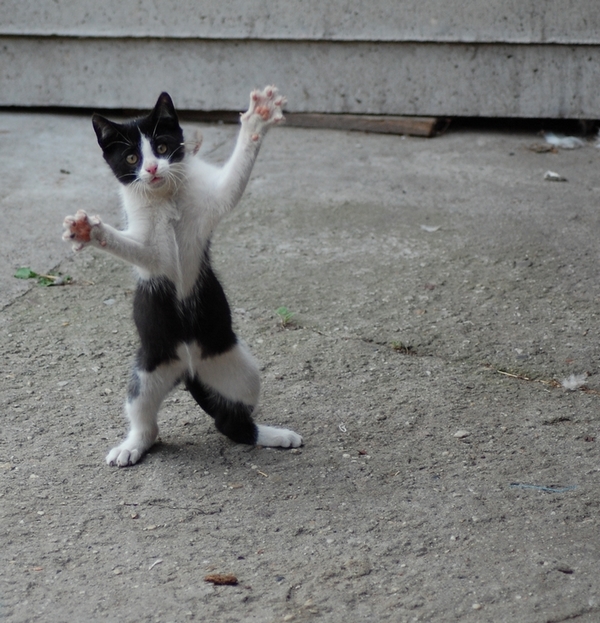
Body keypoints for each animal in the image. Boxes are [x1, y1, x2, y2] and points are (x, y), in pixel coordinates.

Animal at [63, 88, 302, 468]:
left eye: (162, 147)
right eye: (132, 157)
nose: (151, 168)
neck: (166, 200)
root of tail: (187, 373)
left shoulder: (210, 207)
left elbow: (234, 182)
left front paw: (257, 120)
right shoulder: (152, 256)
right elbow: (134, 248)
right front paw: (89, 230)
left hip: (238, 365)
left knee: (231, 421)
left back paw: (272, 435)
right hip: (147, 370)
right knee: (146, 419)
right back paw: (132, 445)